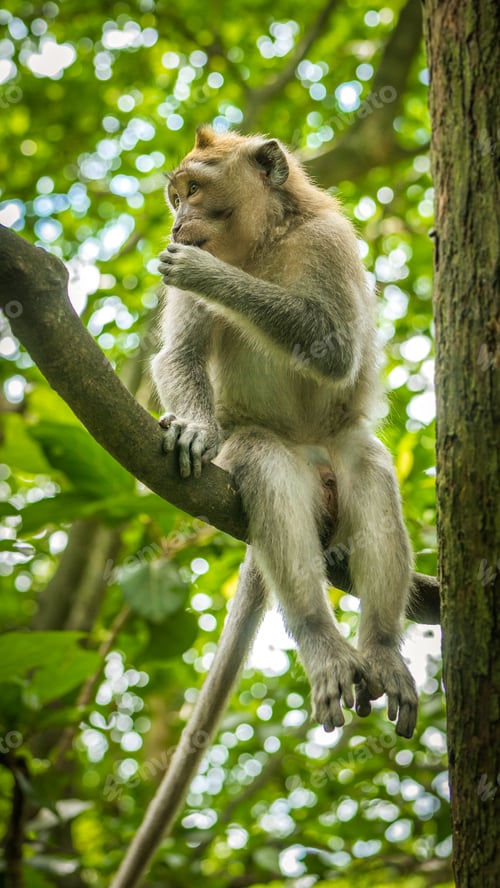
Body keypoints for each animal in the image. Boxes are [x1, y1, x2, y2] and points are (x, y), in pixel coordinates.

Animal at [151, 126, 418, 741]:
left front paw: (211, 278)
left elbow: (335, 348)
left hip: (336, 453)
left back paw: (380, 646)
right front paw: (194, 429)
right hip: (259, 453)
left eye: (192, 190)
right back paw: (321, 639)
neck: (261, 245)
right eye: (176, 198)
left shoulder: (327, 240)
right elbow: (178, 356)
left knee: (365, 462)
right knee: (264, 460)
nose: (176, 224)